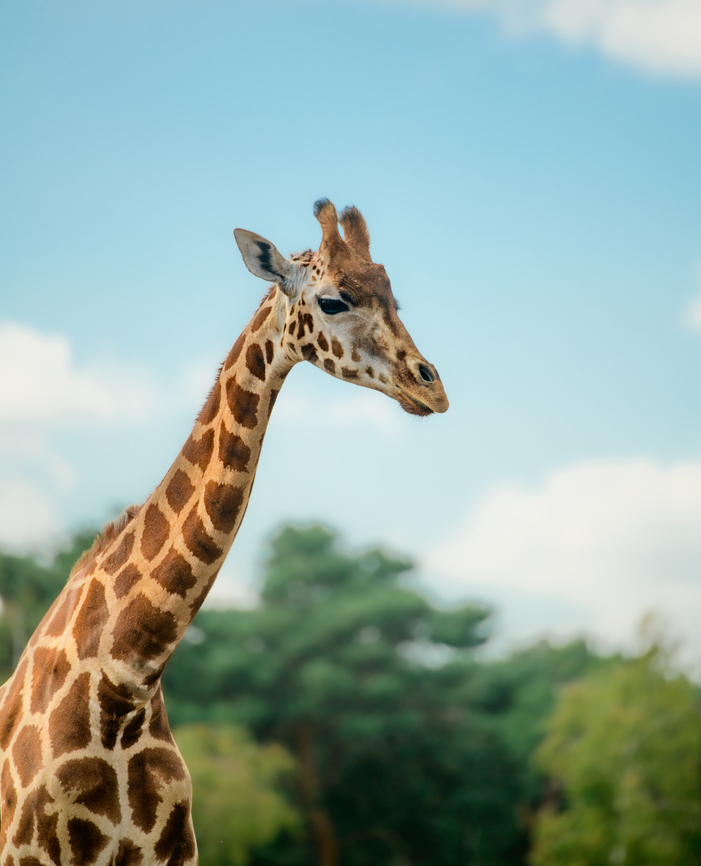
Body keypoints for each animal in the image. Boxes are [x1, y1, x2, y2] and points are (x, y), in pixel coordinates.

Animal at [0, 199, 448, 866]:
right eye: (333, 301)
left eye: (396, 299)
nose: (431, 387)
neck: (125, 681)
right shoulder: (28, 850)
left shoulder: (173, 852)